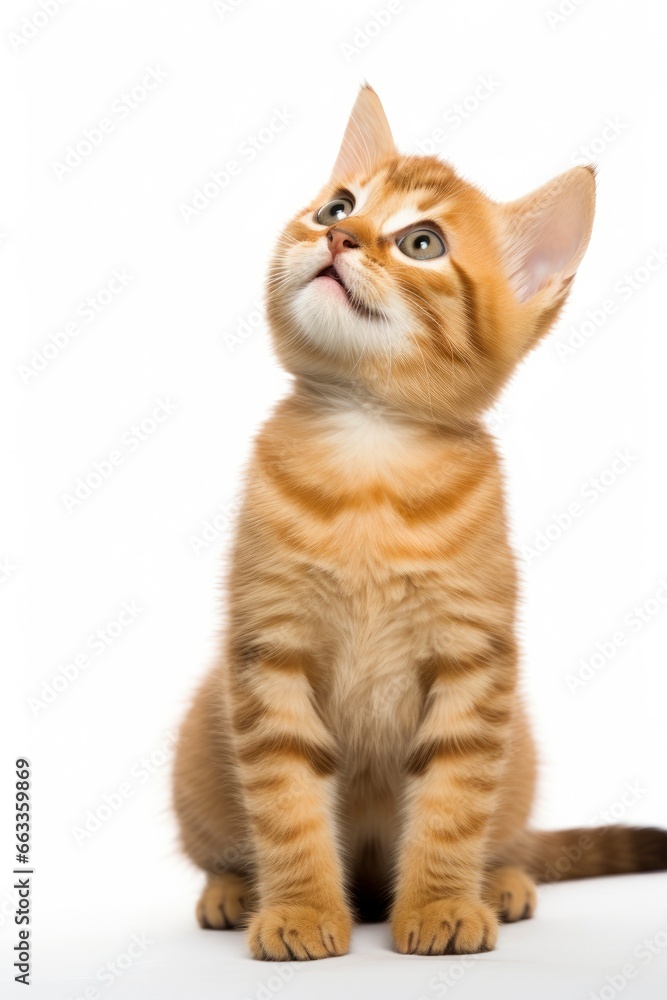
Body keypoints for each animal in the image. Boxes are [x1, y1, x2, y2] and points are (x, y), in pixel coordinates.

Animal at [174, 86, 667, 960]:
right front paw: (298, 910)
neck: (369, 450)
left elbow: (453, 798)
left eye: (422, 243)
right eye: (337, 205)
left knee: (503, 832)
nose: (337, 236)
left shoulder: (473, 662)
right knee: (224, 844)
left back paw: (498, 881)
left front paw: (440, 904)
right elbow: (285, 799)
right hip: (204, 728)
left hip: (518, 746)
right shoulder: (268, 650)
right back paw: (233, 890)